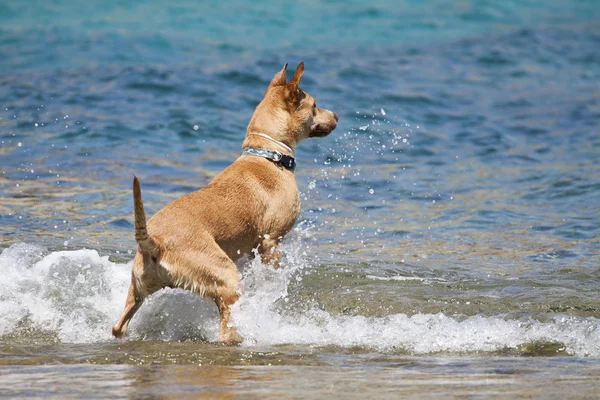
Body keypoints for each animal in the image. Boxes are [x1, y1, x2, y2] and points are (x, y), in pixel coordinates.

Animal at [111, 62, 338, 344]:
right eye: (315, 105)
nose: (336, 115)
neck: (268, 155)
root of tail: (155, 244)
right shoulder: (271, 242)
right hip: (225, 275)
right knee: (226, 326)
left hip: (139, 288)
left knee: (119, 326)